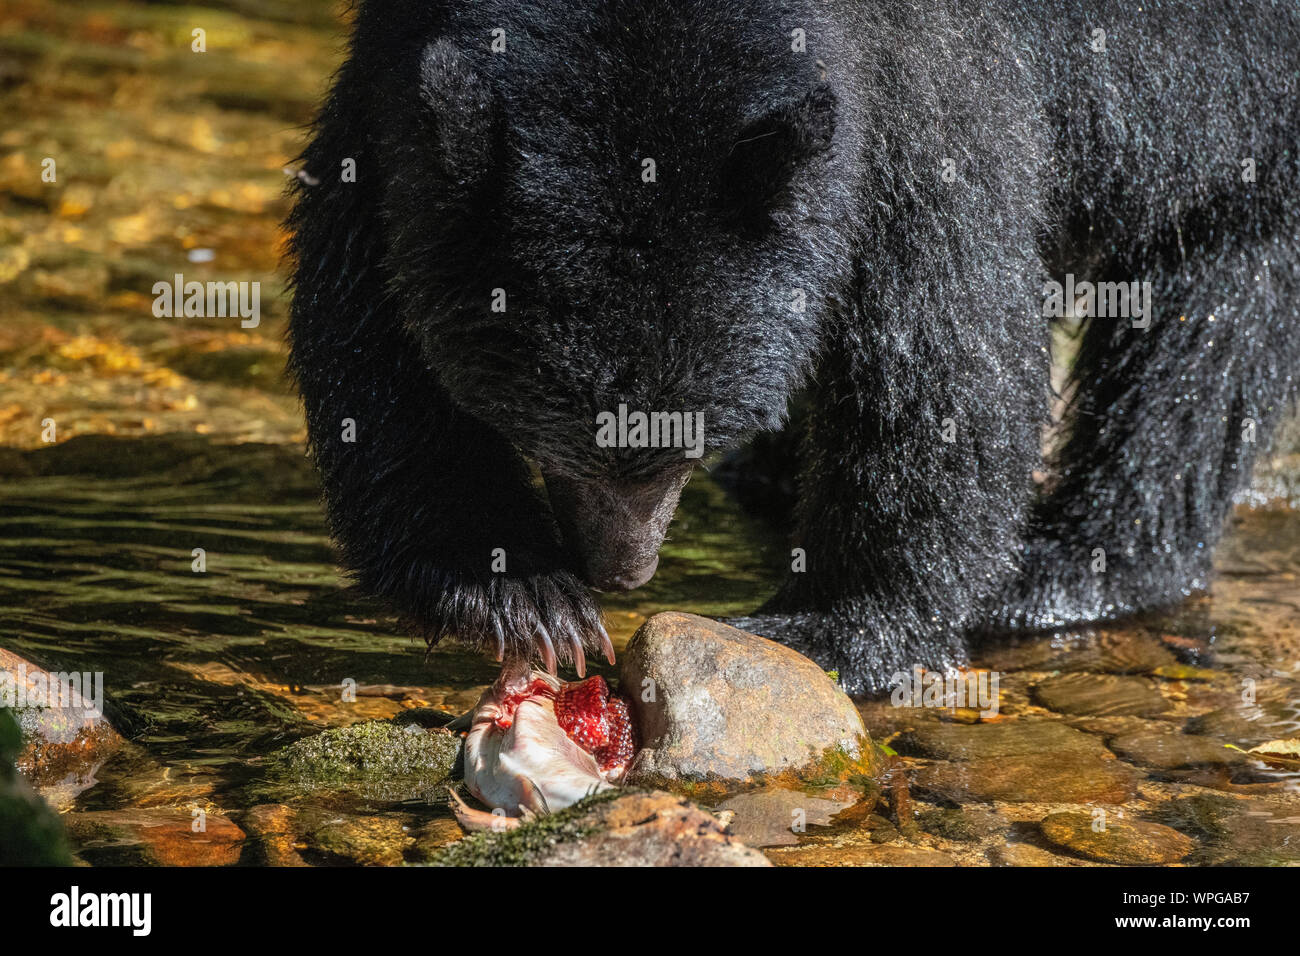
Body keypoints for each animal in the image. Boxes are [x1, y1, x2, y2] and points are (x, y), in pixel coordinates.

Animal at [292, 0, 1300, 697]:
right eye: (549, 439)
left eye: (686, 445)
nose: (623, 571)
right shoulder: (397, 81)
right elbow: (366, 325)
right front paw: (524, 597)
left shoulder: (924, 77)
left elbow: (942, 340)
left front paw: (834, 628)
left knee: (1209, 331)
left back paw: (1073, 569)